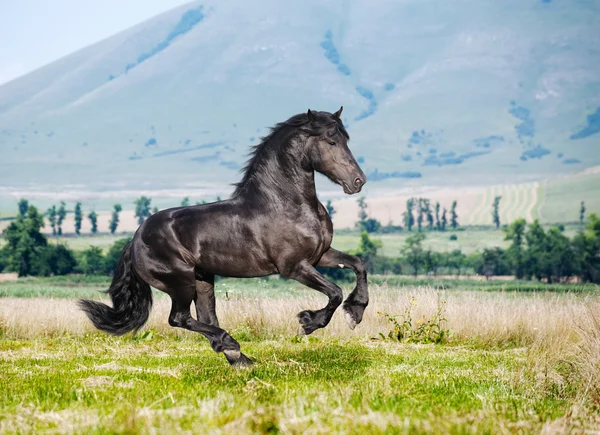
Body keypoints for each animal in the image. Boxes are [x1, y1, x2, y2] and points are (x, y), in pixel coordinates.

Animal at [79, 107, 368, 366]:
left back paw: (238, 356)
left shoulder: (320, 256)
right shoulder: (294, 266)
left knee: (205, 318)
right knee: (179, 319)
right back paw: (232, 345)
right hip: (180, 282)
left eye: (346, 139)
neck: (286, 203)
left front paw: (355, 312)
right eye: (331, 141)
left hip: (203, 280)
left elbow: (358, 265)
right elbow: (335, 292)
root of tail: (135, 239)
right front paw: (308, 322)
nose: (358, 181)